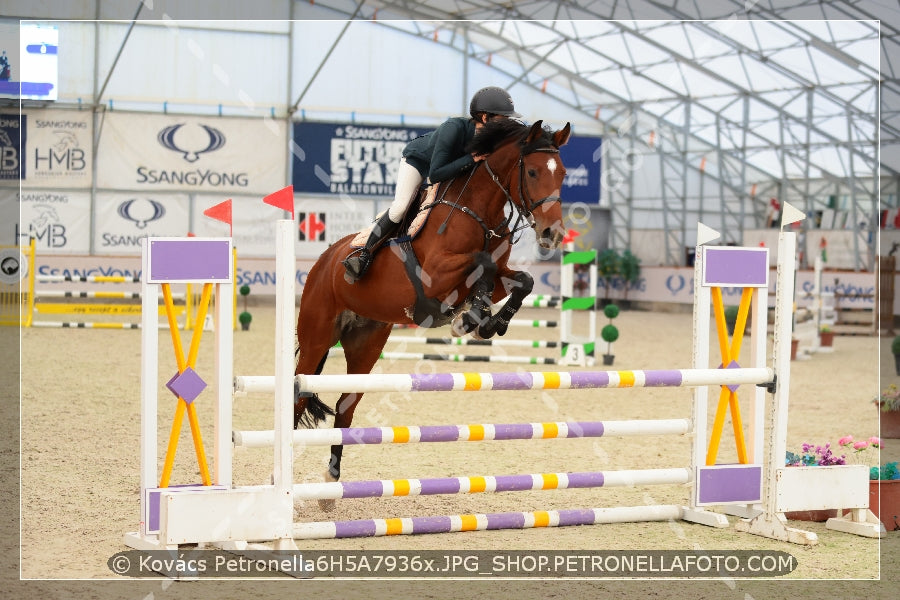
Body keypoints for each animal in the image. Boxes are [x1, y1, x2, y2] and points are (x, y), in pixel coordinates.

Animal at [298, 119, 572, 504]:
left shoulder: (496, 278)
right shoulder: (436, 278)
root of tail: (325, 260)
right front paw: (470, 318)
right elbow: (482, 261)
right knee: (297, 396)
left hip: (366, 344)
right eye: (532, 172)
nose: (553, 234)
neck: (479, 211)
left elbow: (523, 280)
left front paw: (486, 322)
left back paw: (331, 480)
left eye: (562, 173)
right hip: (316, 337)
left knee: (345, 407)